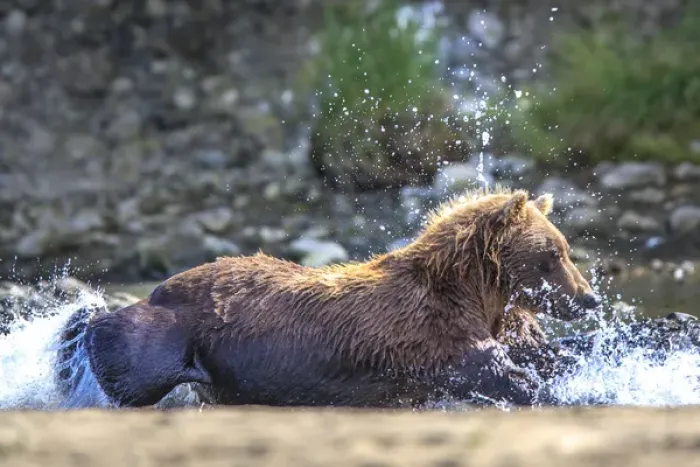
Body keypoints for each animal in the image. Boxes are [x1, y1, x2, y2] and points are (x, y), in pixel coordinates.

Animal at [54, 187, 602, 409]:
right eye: (554, 254)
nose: (591, 298)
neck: (477, 295)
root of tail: (161, 285)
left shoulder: (494, 327)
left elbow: (542, 358)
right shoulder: (433, 338)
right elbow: (501, 375)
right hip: (179, 326)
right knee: (129, 360)